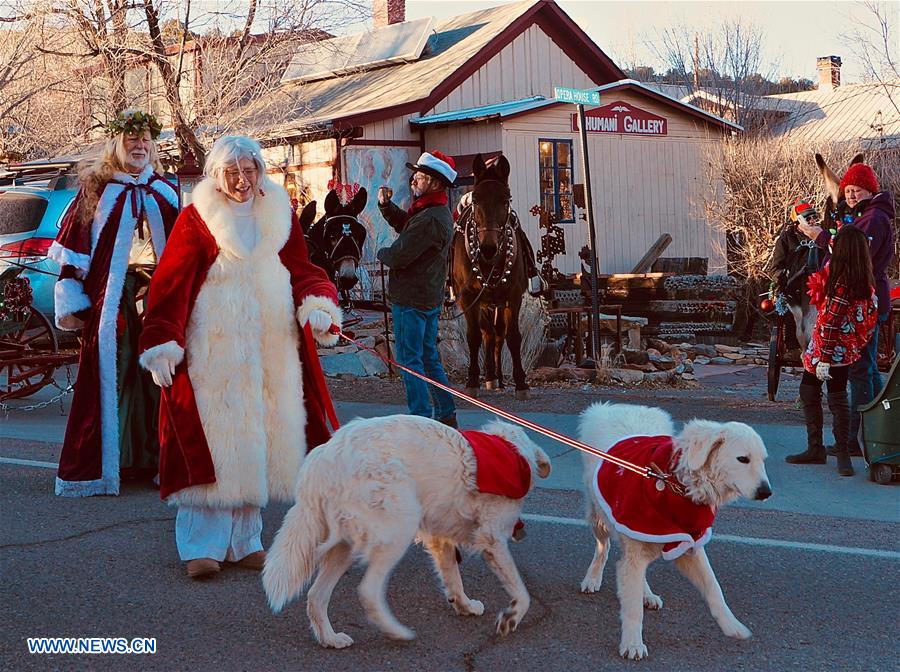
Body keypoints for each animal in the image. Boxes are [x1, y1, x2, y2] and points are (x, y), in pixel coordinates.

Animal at [448, 152, 528, 400]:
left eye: (505, 200)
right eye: (476, 200)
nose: (488, 248)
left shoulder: (513, 297)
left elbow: (513, 337)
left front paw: (521, 383)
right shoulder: (468, 299)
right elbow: (474, 337)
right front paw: (472, 380)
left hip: (496, 303)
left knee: (497, 334)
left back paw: (498, 378)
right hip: (483, 303)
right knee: (488, 334)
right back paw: (490, 376)